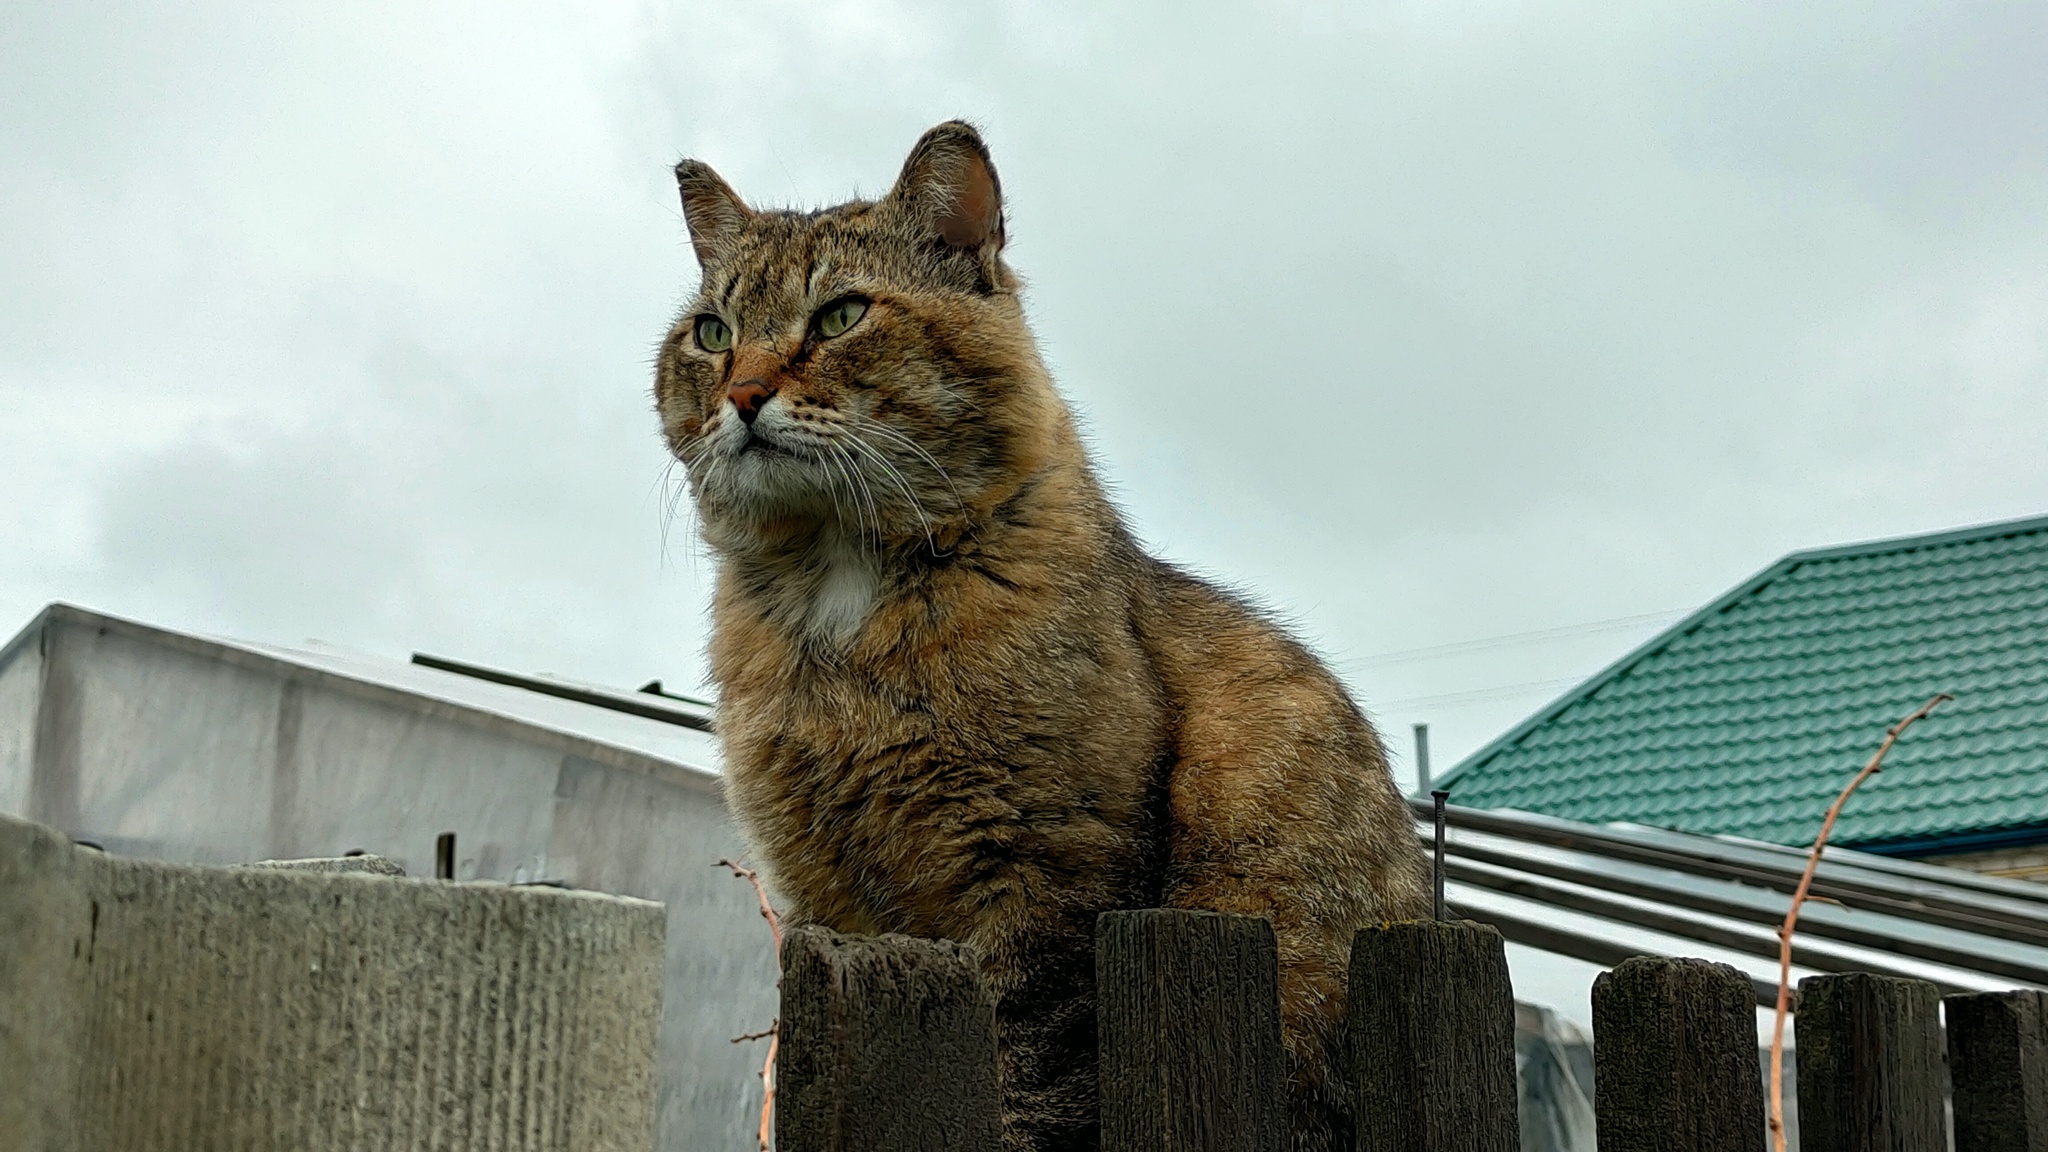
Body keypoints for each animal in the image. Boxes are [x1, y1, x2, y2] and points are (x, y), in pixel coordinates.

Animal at [655, 120, 1425, 1139]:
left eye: (840, 316)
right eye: (712, 333)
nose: (741, 395)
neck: (839, 604)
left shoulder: (1046, 885)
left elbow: (1027, 1083)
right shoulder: (827, 898)